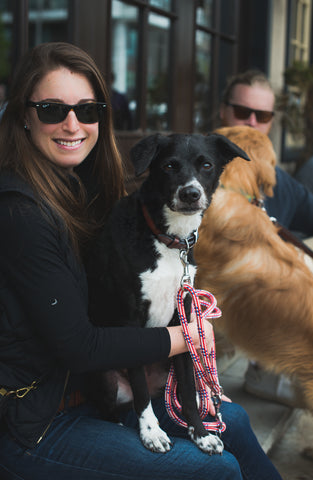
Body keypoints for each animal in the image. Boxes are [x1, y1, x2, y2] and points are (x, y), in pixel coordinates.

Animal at [87, 133, 249, 456]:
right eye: (170, 166)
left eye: (206, 165)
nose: (190, 194)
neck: (168, 239)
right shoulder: (130, 322)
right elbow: (139, 391)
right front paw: (151, 433)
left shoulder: (183, 321)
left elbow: (186, 388)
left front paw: (200, 433)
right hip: (105, 378)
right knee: (115, 406)